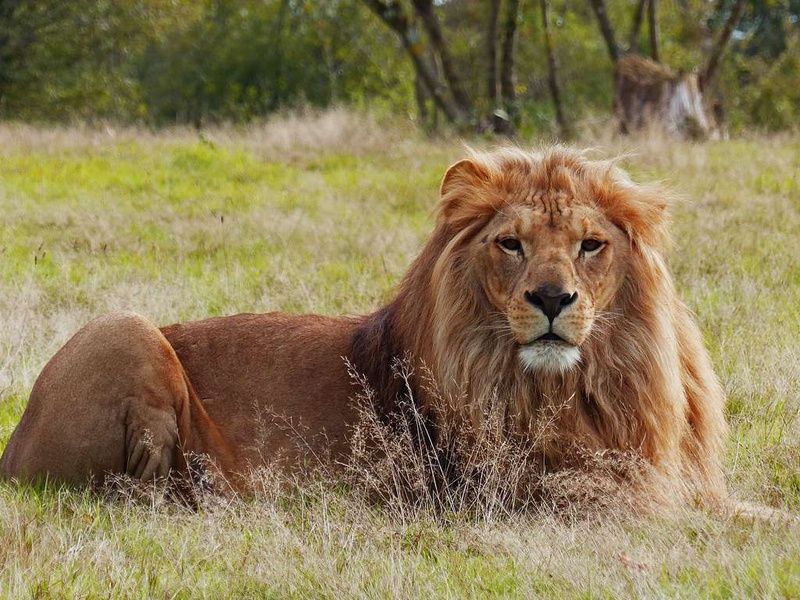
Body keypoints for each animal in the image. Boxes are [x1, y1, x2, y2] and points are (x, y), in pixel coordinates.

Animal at [0, 146, 728, 506]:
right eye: (511, 244)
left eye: (590, 245)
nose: (552, 298)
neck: (579, 388)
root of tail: (10, 452)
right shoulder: (556, 498)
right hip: (121, 330)